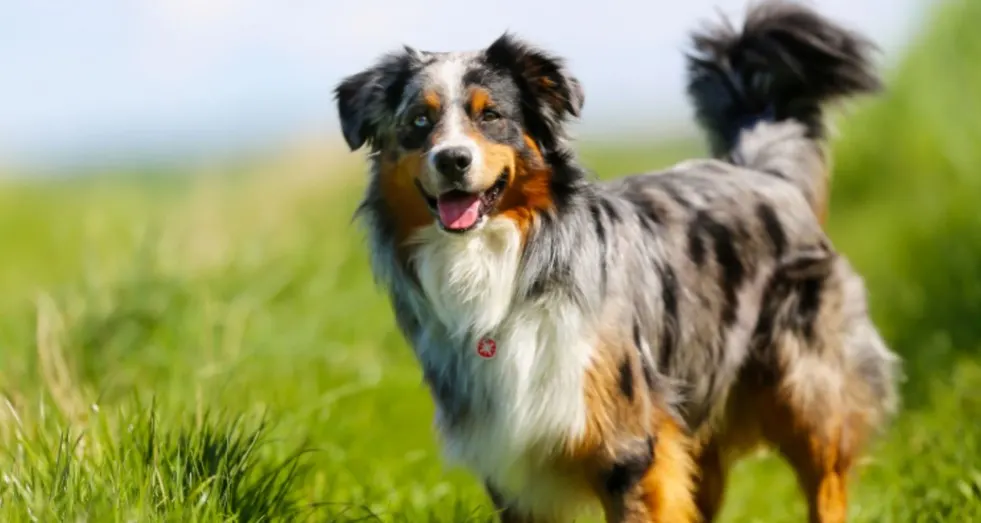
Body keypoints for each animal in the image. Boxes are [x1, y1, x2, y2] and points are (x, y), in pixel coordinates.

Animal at [334, 2, 896, 520]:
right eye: (419, 121)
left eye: (490, 115)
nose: (452, 159)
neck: (501, 267)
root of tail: (766, 174)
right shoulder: (512, 465)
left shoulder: (628, 448)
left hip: (808, 395)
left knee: (826, 483)